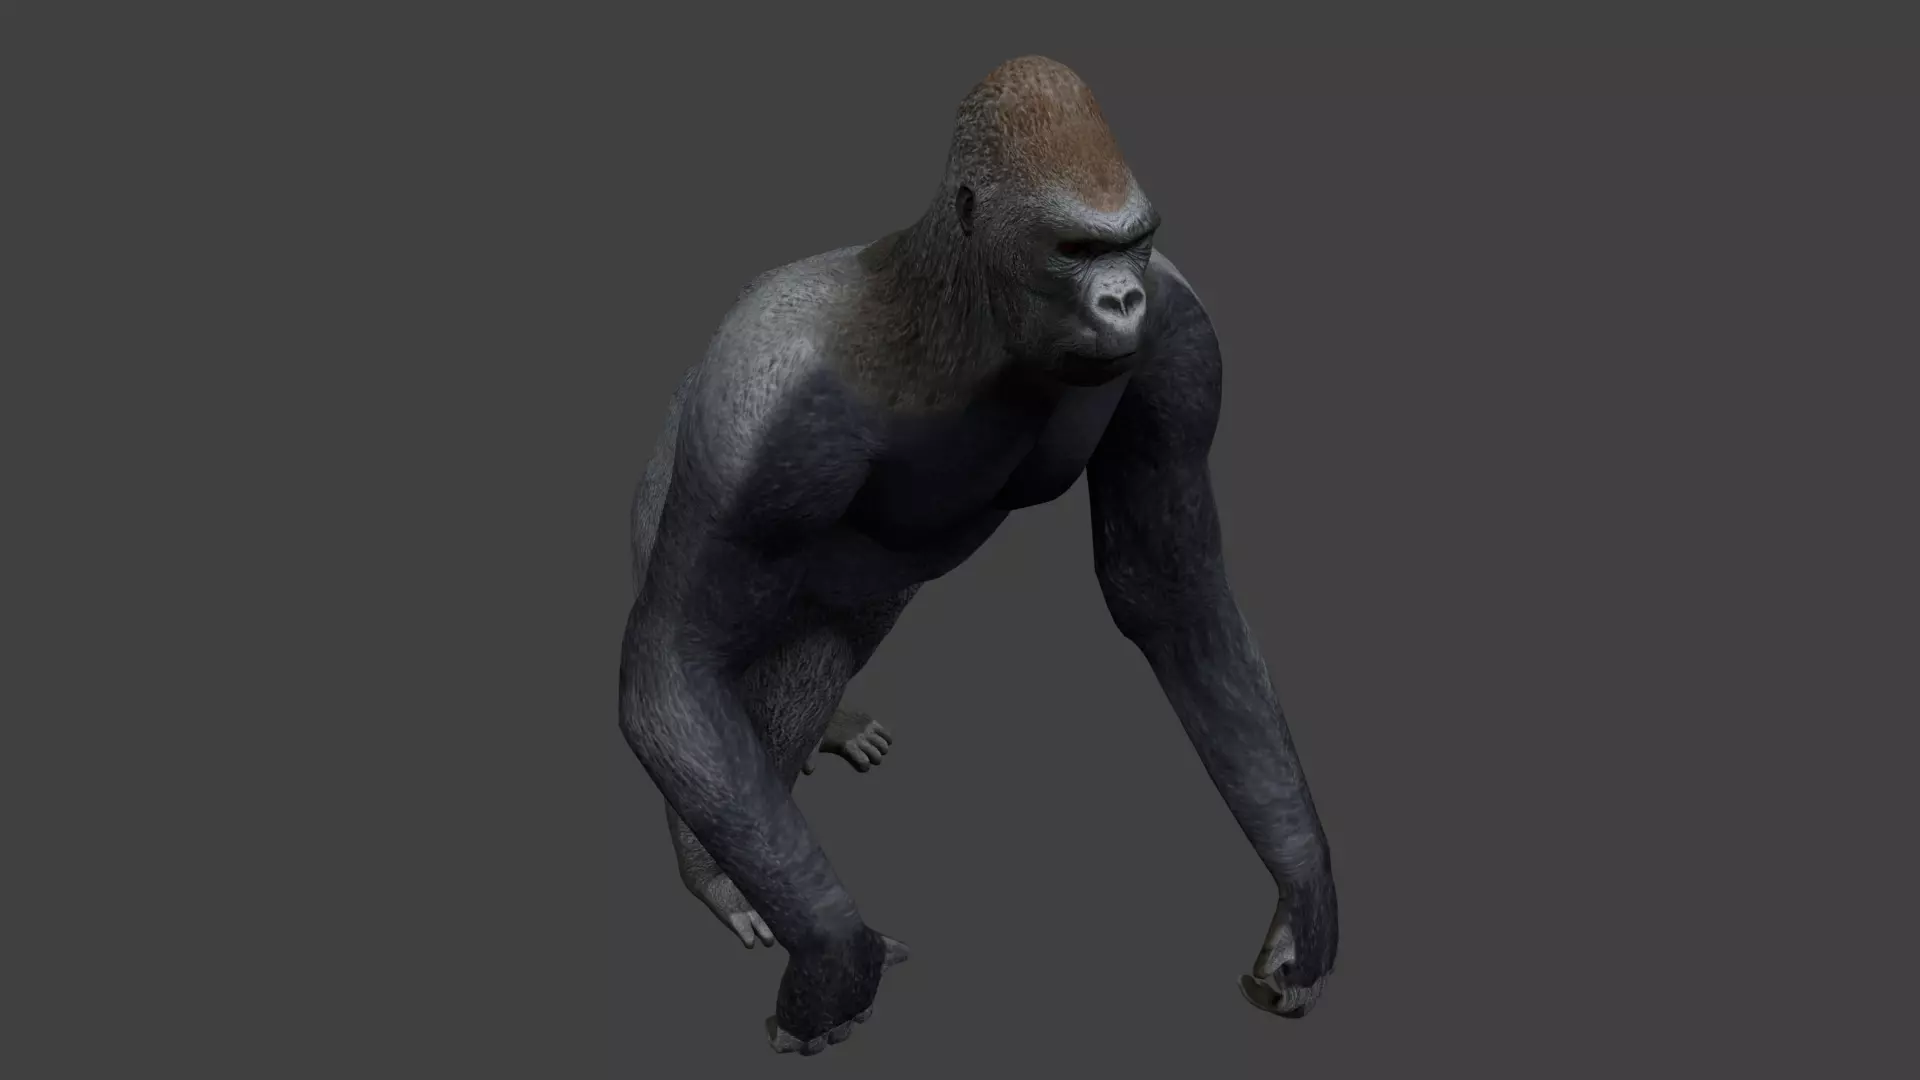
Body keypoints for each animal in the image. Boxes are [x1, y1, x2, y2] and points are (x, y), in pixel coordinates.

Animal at [620, 56, 1338, 1056]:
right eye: (1074, 249)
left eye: (1135, 245)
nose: (1123, 299)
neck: (958, 319)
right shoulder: (761, 411)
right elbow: (679, 669)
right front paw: (835, 966)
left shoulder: (1182, 338)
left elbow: (1170, 592)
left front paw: (1304, 893)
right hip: (663, 498)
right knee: (726, 679)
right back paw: (717, 872)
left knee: (819, 657)